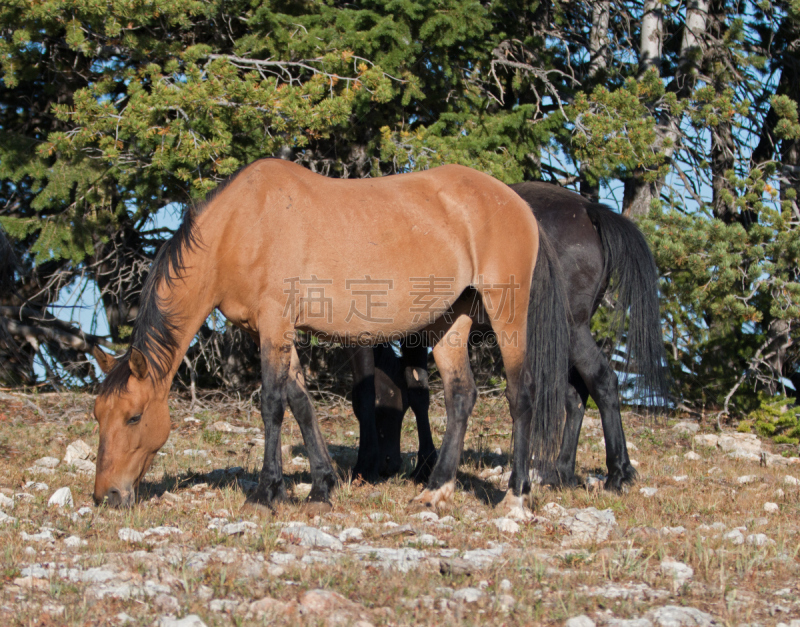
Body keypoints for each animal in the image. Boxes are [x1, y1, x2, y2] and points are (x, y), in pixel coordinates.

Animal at [94, 159, 568, 512]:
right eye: (99, 416)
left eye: (134, 417)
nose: (106, 496)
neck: (242, 226)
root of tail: (515, 202)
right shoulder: (274, 331)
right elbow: (301, 404)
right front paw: (322, 488)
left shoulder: (274, 325)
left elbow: (272, 405)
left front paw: (264, 494)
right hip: (451, 320)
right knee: (460, 397)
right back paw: (436, 490)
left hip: (507, 313)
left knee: (521, 395)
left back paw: (514, 496)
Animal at [354, 180, 672, 490]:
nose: (388, 464)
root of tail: (587, 210)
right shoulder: (417, 337)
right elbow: (418, 392)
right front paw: (424, 463)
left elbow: (380, 394)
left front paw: (383, 465)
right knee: (576, 394)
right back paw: (562, 472)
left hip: (572, 329)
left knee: (603, 381)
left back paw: (618, 473)